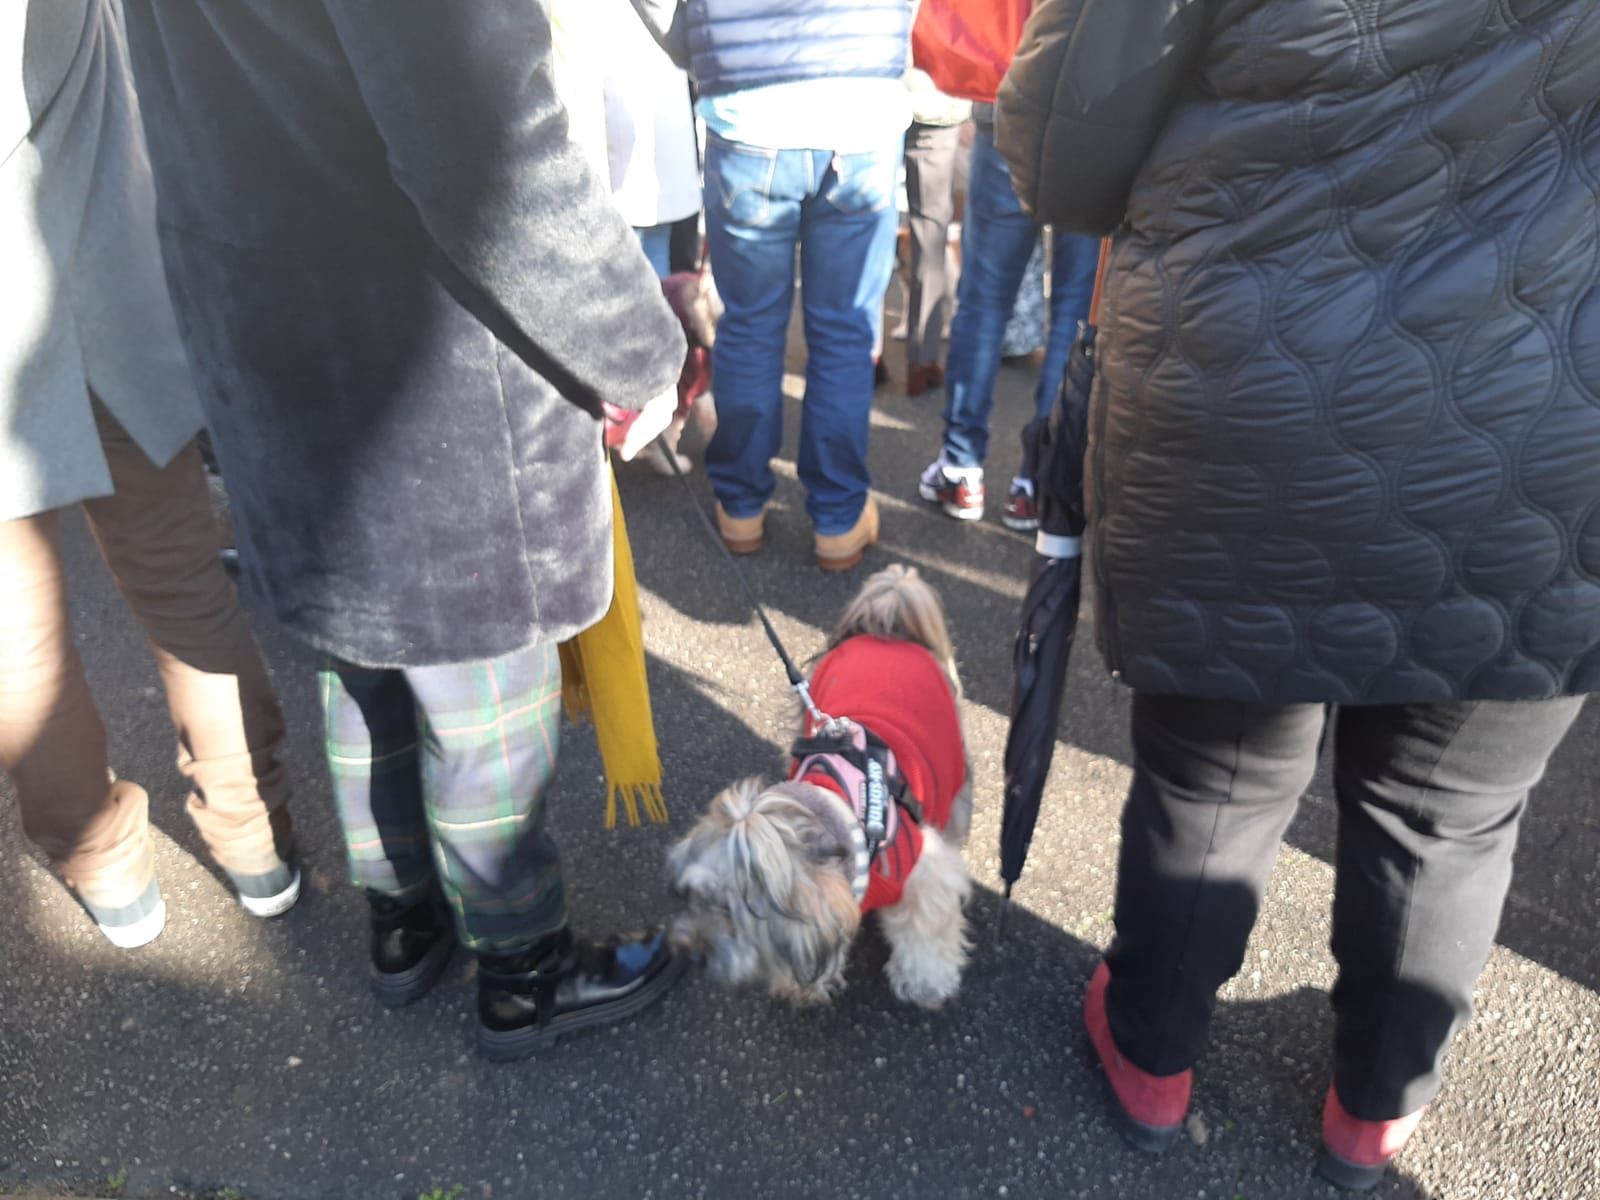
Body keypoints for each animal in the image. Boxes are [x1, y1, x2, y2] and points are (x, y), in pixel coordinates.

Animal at [665, 569, 966, 1011]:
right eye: (695, 898)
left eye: (728, 912)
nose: (690, 953)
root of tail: (887, 621)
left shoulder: (925, 873)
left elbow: (927, 933)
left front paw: (926, 982)